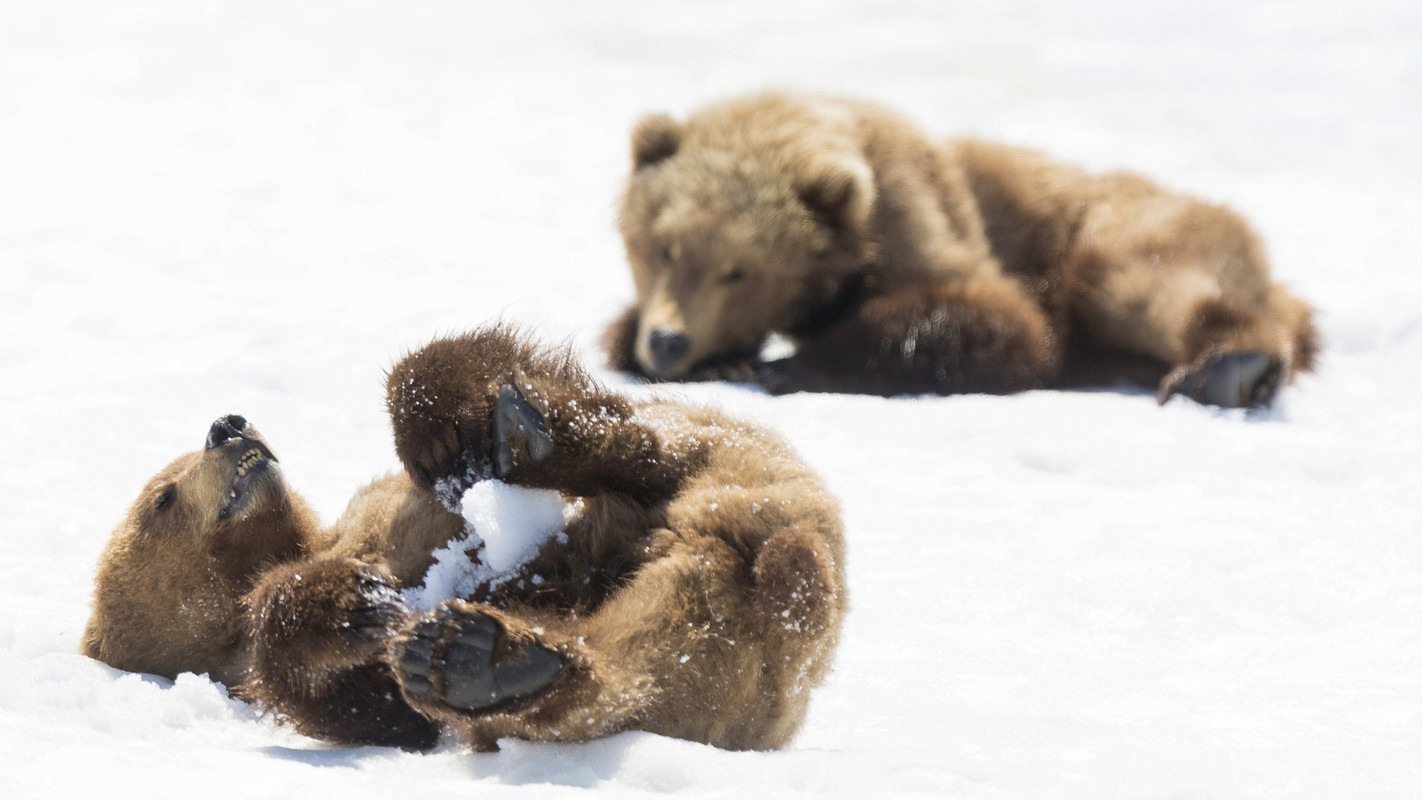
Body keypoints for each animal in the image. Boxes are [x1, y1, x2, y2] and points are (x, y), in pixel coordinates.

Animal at [83, 323, 841, 750]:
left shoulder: (372, 508)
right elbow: (369, 705)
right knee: (628, 669)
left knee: (649, 442)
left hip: (739, 465)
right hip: (708, 657)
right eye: (163, 497)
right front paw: (358, 604)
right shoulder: (256, 676)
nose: (226, 425)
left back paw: (514, 435)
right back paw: (481, 657)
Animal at [605, 90, 1313, 409]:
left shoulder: (925, 215)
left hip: (1128, 227)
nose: (668, 342)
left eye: (739, 271)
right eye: (662, 248)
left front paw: (782, 366)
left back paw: (1228, 365)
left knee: (1144, 284)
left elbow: (998, 323)